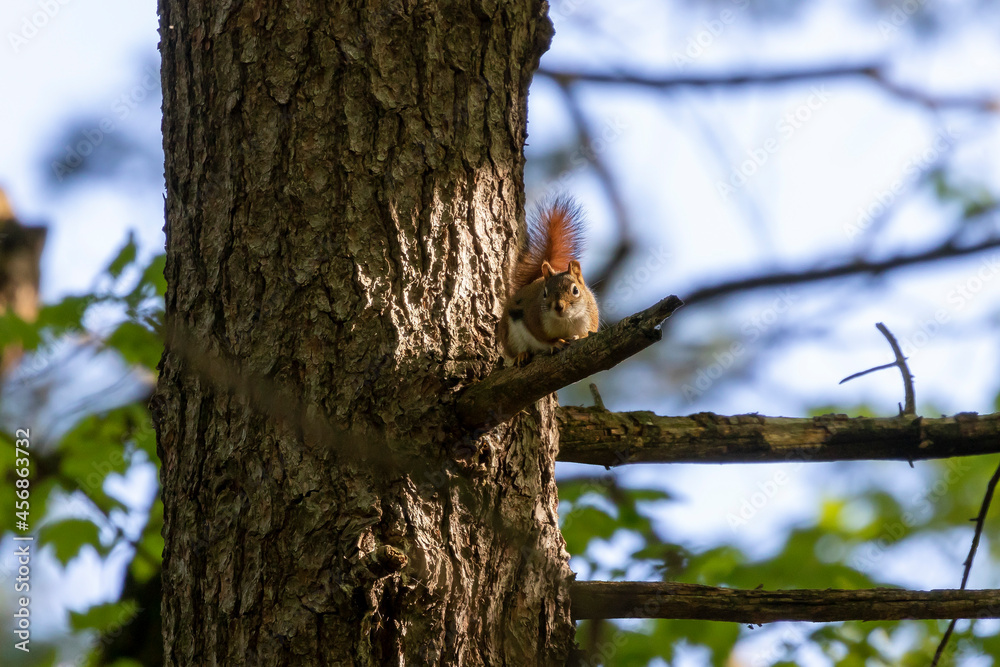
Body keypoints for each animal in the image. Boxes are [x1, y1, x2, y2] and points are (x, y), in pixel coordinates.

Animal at [499, 198, 600, 367]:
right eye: (545, 293)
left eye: (575, 290)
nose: (558, 307)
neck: (565, 319)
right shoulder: (532, 316)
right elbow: (541, 336)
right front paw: (555, 342)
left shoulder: (590, 316)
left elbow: (588, 332)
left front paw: (580, 337)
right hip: (510, 335)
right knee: (516, 350)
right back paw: (522, 355)